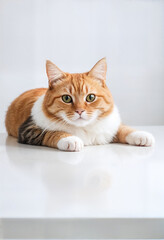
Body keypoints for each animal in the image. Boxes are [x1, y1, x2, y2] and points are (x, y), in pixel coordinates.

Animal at [5, 58, 154, 151]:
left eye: (91, 97)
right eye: (66, 98)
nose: (80, 111)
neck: (84, 128)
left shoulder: (110, 126)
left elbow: (124, 129)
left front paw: (141, 136)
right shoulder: (29, 129)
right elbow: (52, 133)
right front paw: (70, 139)